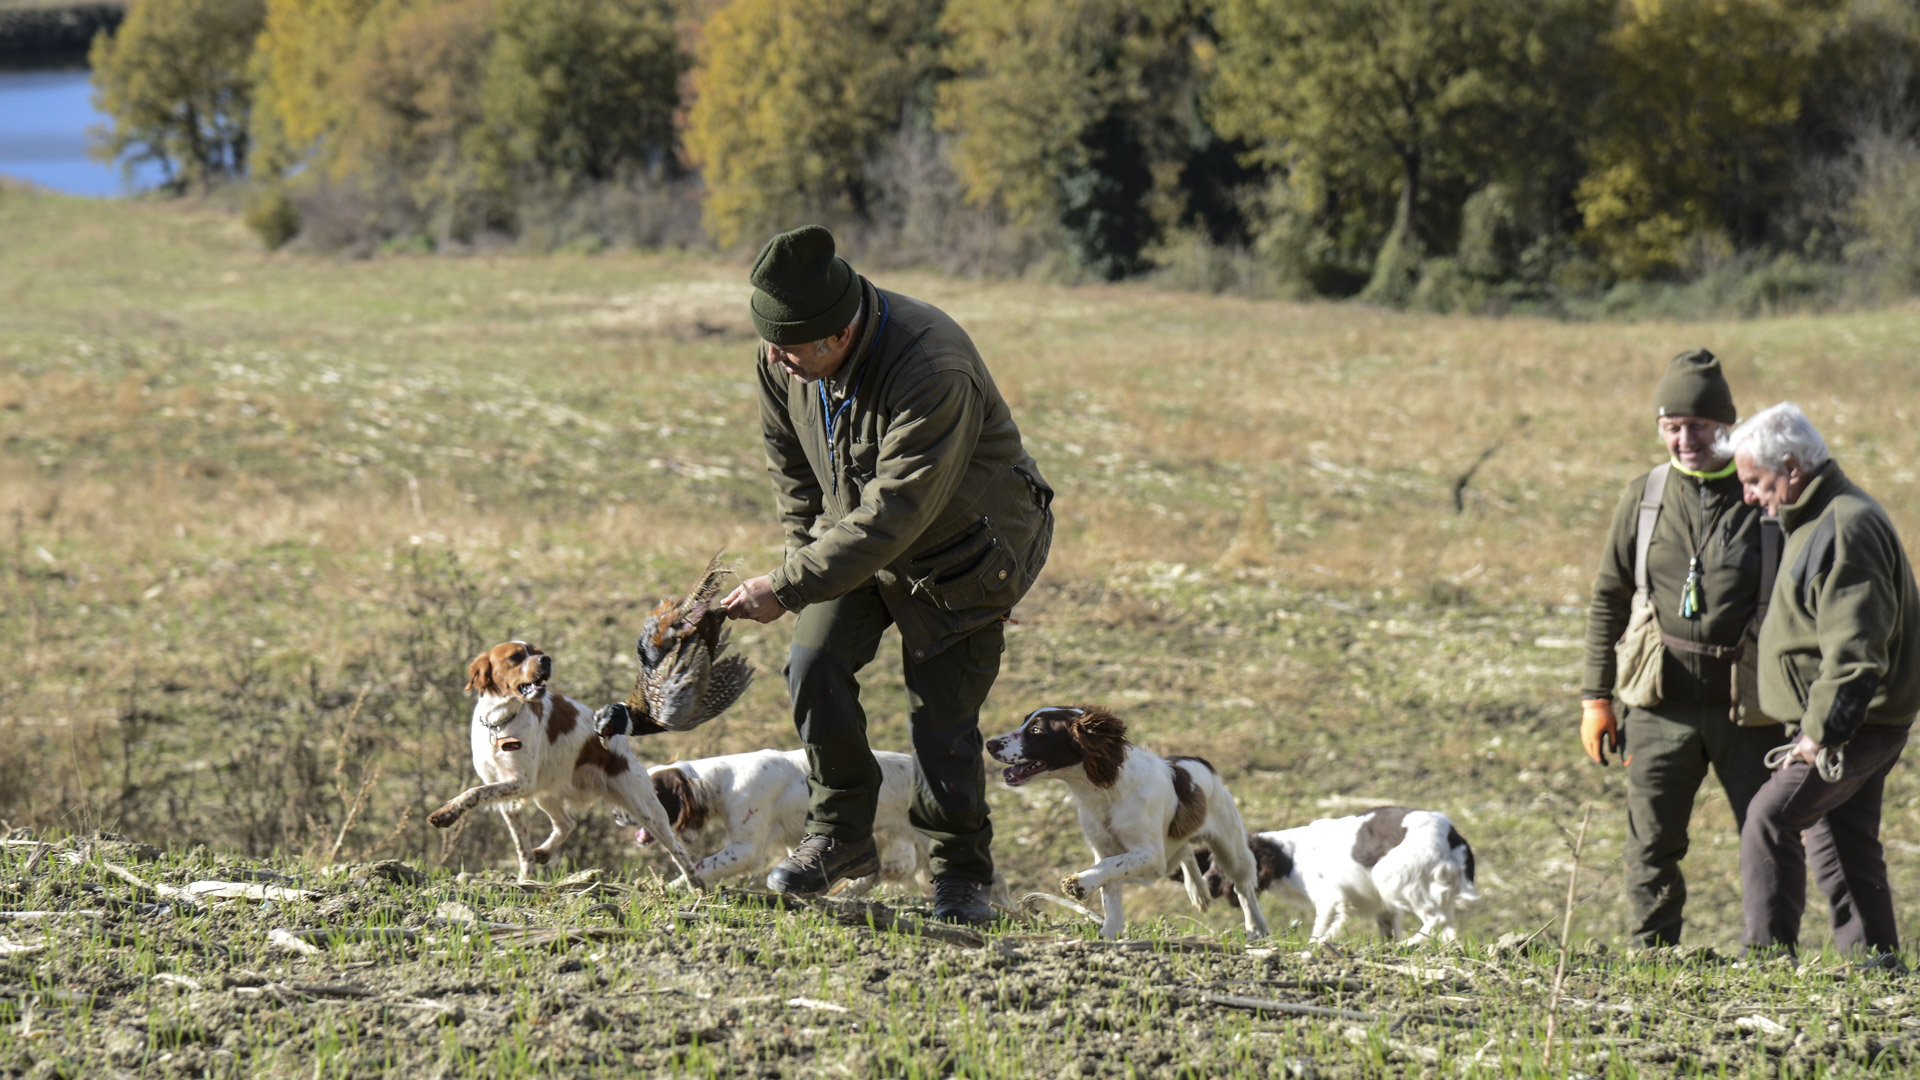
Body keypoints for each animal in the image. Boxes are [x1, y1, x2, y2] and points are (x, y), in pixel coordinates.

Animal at [990, 703, 1274, 937]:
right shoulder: (1106, 847)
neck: (1106, 791)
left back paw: (1257, 929)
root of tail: (1200, 761)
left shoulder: (1151, 855)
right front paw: (1110, 932)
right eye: (1025, 722)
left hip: (1230, 847)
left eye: (1036, 730)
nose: (990, 744)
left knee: (1244, 889)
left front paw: (1080, 883)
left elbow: (1110, 867)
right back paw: (1199, 892)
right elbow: (1110, 884)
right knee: (1185, 852)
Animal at [1190, 799, 1474, 941]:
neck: (1291, 856)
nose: (1207, 881)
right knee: (1448, 931)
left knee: (1434, 921)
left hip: (1393, 880)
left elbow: (1317, 936)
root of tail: (1452, 834)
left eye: (1221, 863)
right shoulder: (1383, 909)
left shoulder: (1330, 900)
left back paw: (1410, 944)